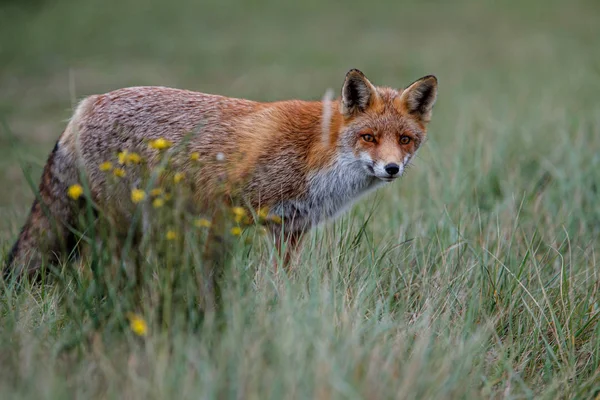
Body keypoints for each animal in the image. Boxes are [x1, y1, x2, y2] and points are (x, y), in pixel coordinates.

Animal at [3, 69, 436, 278]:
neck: (318, 153)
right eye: (368, 137)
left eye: (405, 139)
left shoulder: (291, 228)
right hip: (117, 221)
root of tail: (85, 105)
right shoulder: (230, 209)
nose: (392, 167)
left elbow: (285, 280)